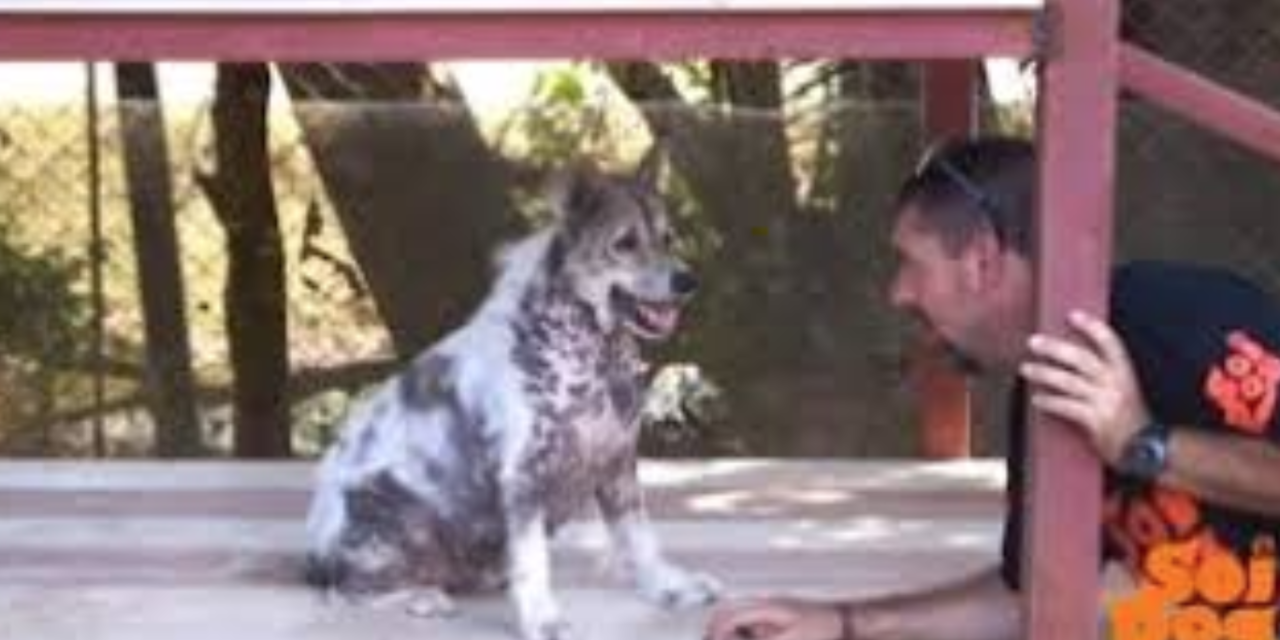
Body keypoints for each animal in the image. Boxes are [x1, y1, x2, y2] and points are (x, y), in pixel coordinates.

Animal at [302, 151, 721, 640]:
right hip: (393, 516)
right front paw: (542, 618)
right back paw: (424, 597)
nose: (687, 281)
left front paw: (669, 588)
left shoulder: (617, 461)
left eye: (668, 237)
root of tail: (314, 556)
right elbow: (533, 560)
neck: (594, 359)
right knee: (345, 591)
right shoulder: (523, 476)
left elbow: (639, 538)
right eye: (625, 243)